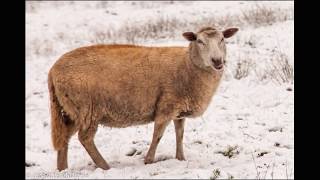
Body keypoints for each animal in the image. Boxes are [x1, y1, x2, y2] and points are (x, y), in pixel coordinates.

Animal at [48, 25, 238, 170]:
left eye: (222, 39)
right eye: (199, 41)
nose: (217, 61)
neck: (188, 65)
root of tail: (52, 71)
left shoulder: (179, 110)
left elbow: (180, 134)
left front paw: (180, 159)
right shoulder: (166, 106)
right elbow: (158, 136)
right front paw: (148, 161)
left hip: (70, 110)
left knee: (64, 137)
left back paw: (62, 169)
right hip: (87, 108)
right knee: (85, 138)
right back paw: (105, 167)